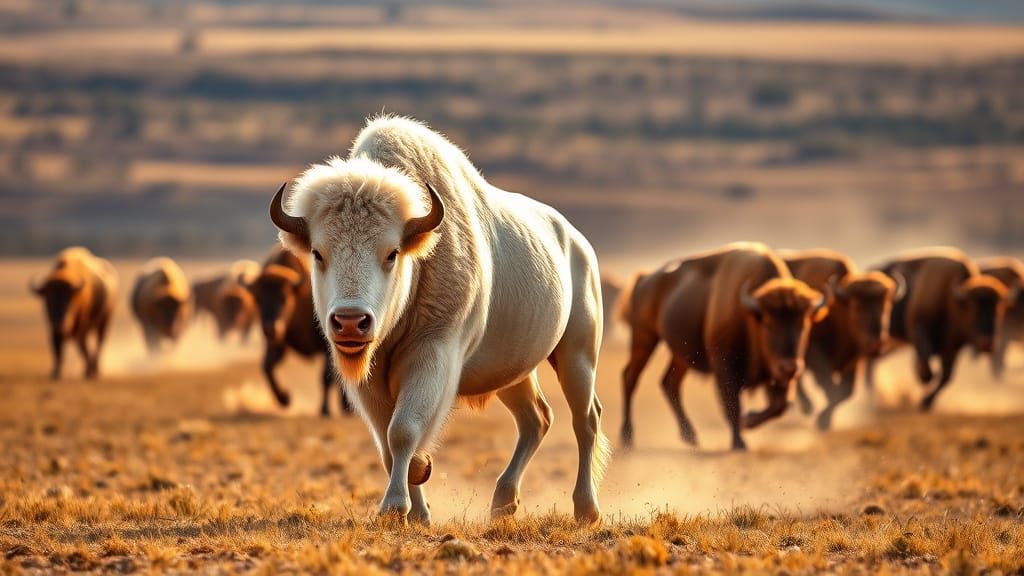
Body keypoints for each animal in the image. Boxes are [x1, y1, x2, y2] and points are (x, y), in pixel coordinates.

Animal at [31, 247, 118, 380]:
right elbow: (57, 350)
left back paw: (95, 370)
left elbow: (82, 347)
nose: (61, 324)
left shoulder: (81, 328)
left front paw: (88, 372)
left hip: (104, 321)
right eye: (47, 299)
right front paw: (55, 373)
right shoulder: (54, 330)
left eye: (70, 299)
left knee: (99, 343)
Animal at [620, 242, 828, 451]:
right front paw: (739, 443)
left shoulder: (776, 375)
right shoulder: (725, 366)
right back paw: (627, 438)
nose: (790, 367)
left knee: (669, 383)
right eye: (769, 324)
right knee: (631, 378)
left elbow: (780, 405)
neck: (750, 314)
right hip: (644, 338)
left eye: (804, 324)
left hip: (680, 356)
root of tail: (644, 279)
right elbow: (732, 403)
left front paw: (748, 420)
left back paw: (690, 436)